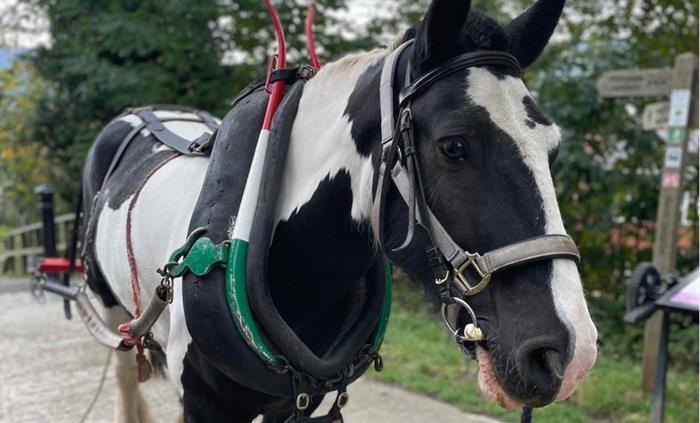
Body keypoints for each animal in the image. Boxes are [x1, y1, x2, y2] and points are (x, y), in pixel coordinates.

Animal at [81, 0, 598, 421]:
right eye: (453, 146)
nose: (570, 354)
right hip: (109, 306)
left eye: (552, 147)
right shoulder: (206, 404)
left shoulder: (295, 400)